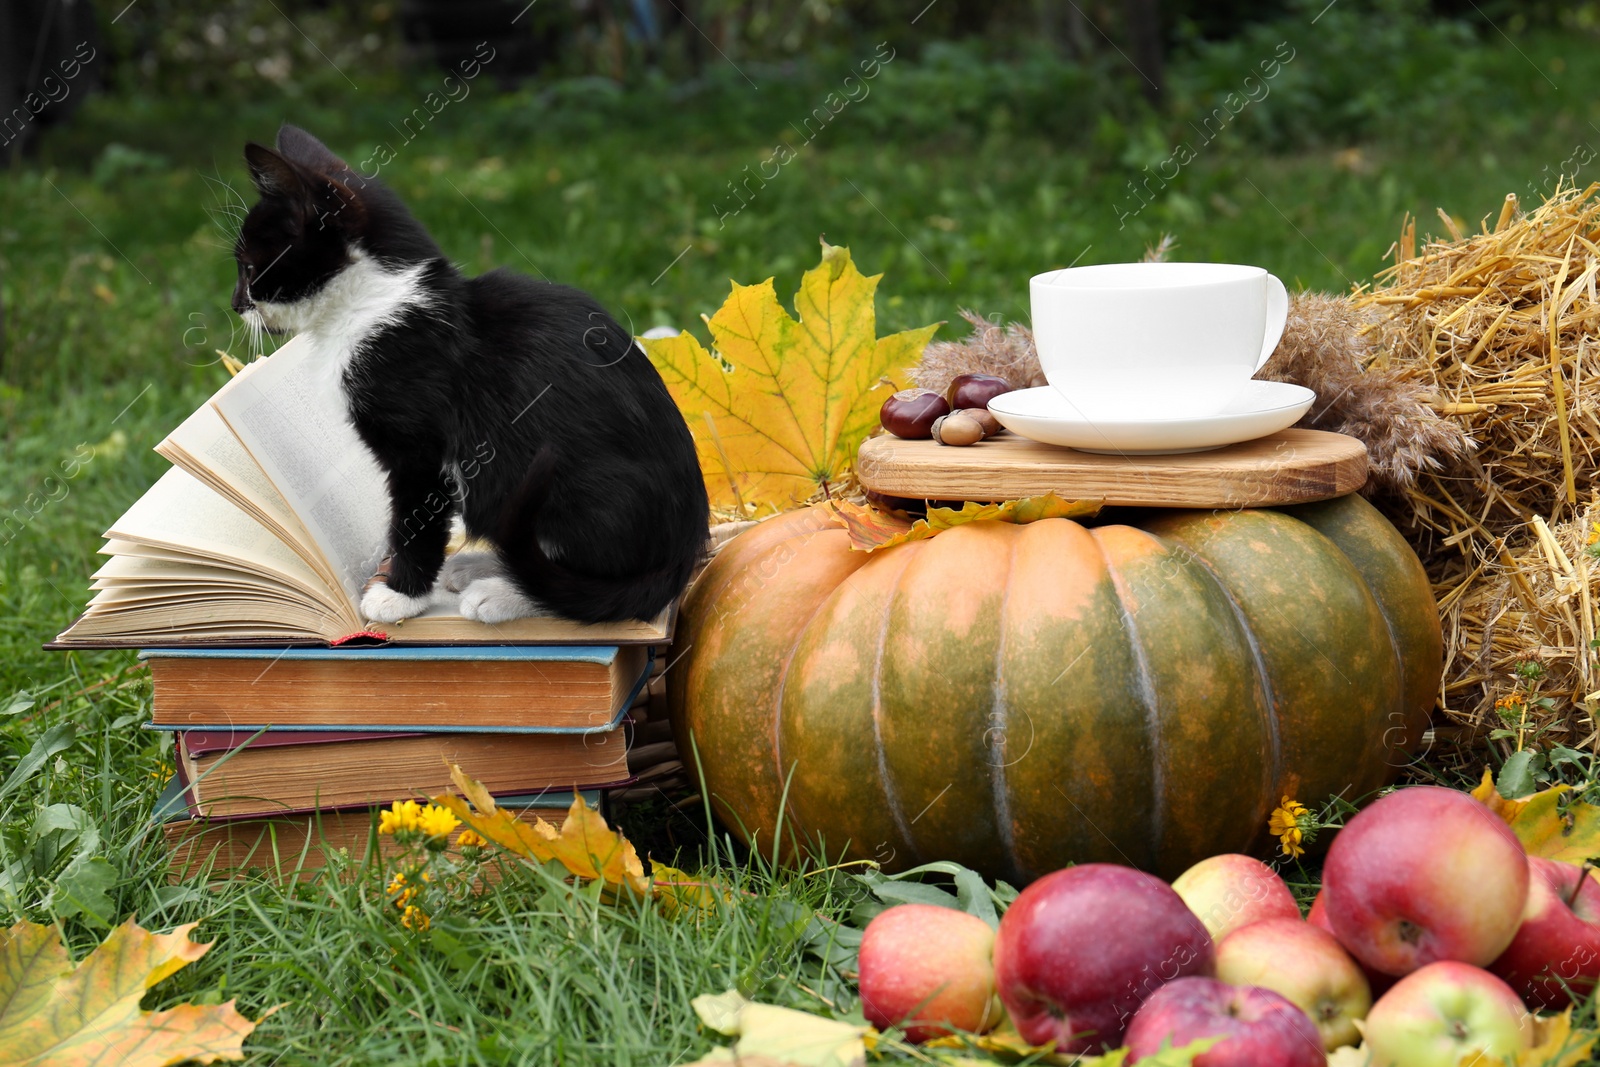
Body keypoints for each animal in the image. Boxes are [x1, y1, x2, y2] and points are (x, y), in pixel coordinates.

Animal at [233, 125, 707, 627]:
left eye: (249, 266)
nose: (235, 304)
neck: (375, 305)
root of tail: (684, 556)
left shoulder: (421, 451)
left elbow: (415, 522)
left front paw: (399, 594)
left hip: (567, 481)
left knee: (578, 578)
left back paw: (502, 592)